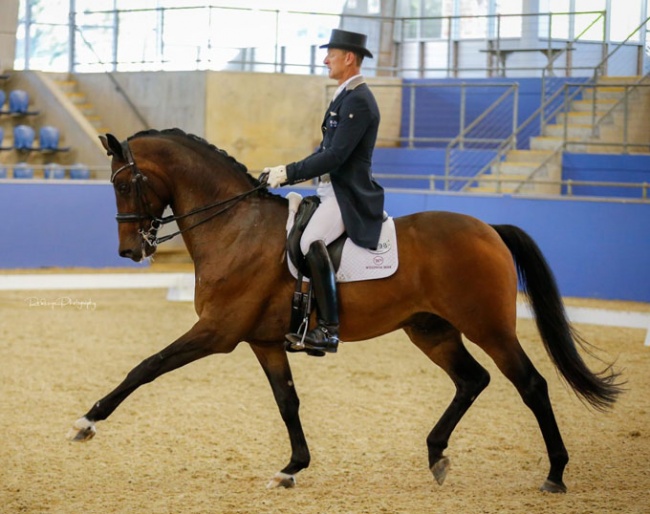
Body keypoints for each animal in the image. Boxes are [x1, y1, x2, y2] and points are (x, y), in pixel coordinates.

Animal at [68, 128, 620, 492]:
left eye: (124, 184)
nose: (130, 252)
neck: (234, 226)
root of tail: (489, 229)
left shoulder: (217, 331)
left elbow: (147, 366)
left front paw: (88, 422)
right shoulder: (263, 341)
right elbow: (287, 401)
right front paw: (293, 467)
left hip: (488, 326)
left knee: (531, 385)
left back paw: (555, 474)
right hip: (431, 329)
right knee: (472, 380)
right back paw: (436, 453)